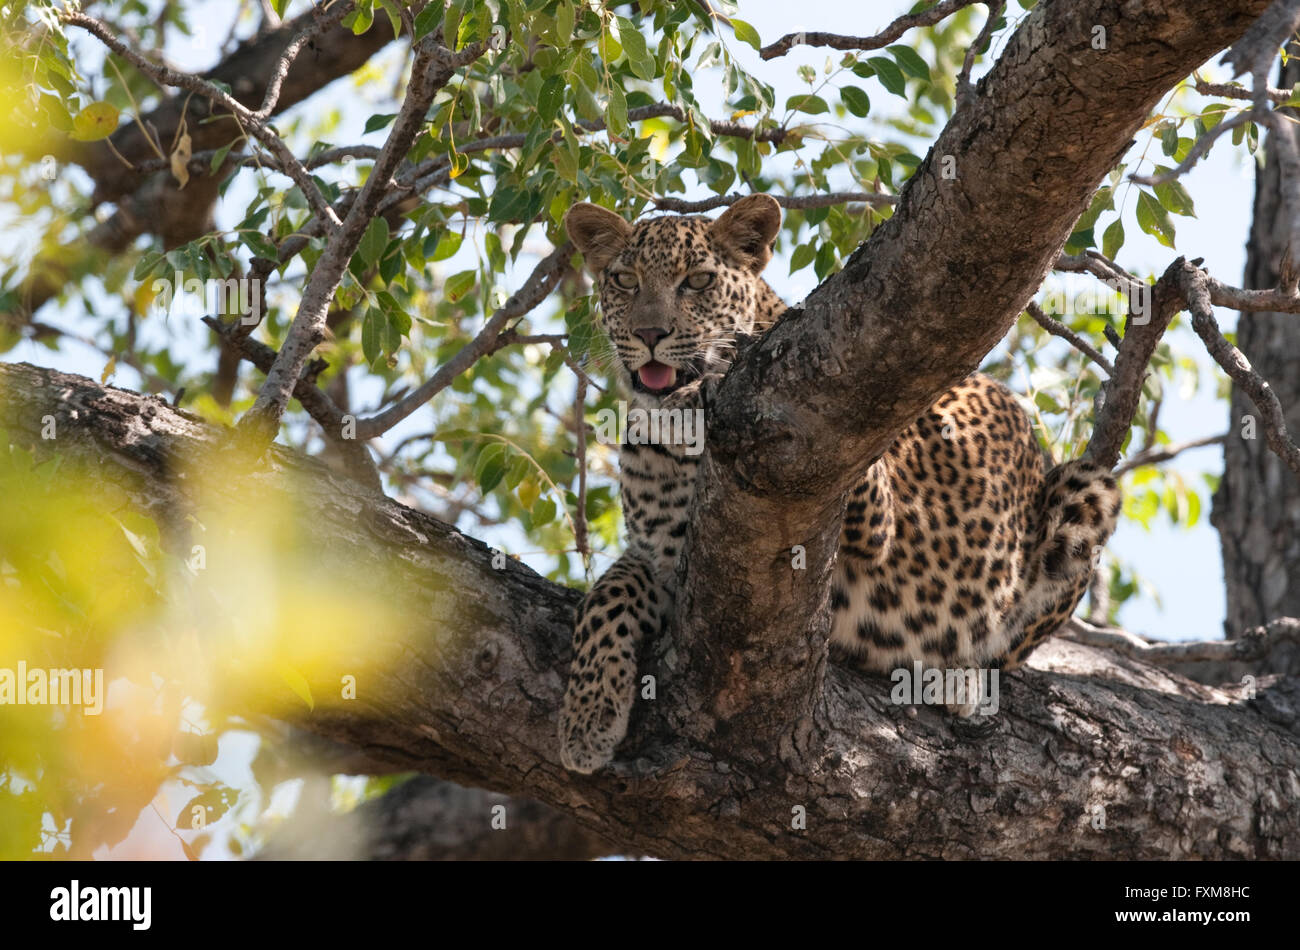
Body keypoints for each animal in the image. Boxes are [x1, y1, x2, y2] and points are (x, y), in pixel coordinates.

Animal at [556, 193, 1118, 774]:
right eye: (625, 280)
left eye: (698, 281)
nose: (649, 335)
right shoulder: (665, 563)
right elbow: (608, 593)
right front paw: (587, 719)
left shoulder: (865, 504)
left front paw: (704, 386)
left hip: (1087, 493)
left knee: (1010, 646)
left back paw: (959, 678)